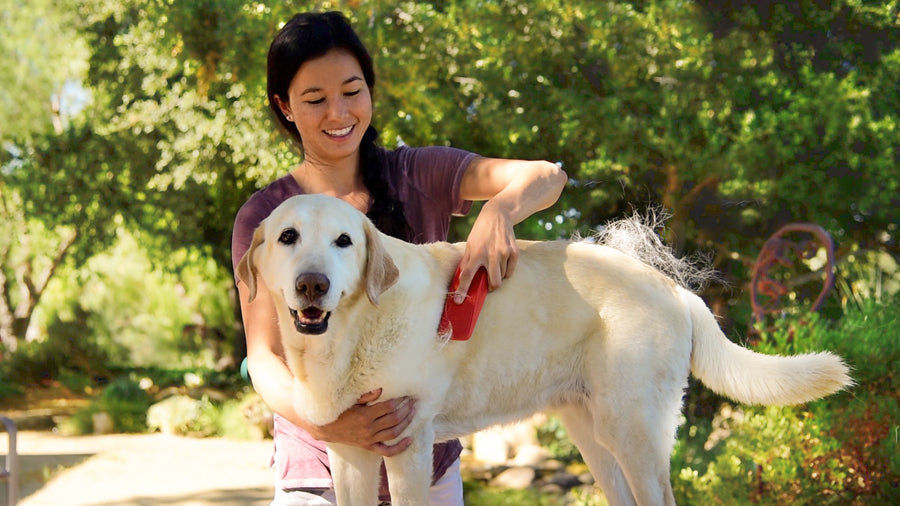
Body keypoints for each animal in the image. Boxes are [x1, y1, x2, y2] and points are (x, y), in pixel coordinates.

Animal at [234, 195, 852, 506]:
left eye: (344, 242)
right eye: (288, 237)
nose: (312, 285)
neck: (354, 330)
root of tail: (674, 288)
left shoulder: (407, 446)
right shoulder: (352, 452)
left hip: (634, 433)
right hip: (595, 435)